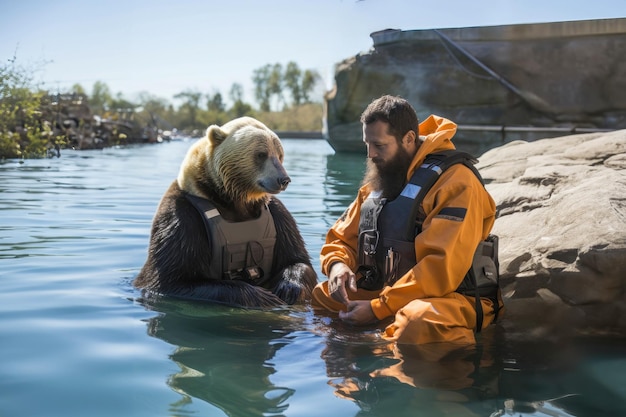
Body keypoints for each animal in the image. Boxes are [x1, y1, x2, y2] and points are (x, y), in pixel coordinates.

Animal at [132, 115, 316, 308]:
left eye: (280, 154)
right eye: (261, 154)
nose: (284, 179)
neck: (229, 199)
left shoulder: (276, 214)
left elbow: (296, 258)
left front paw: (288, 288)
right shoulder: (182, 217)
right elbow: (172, 278)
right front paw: (263, 297)